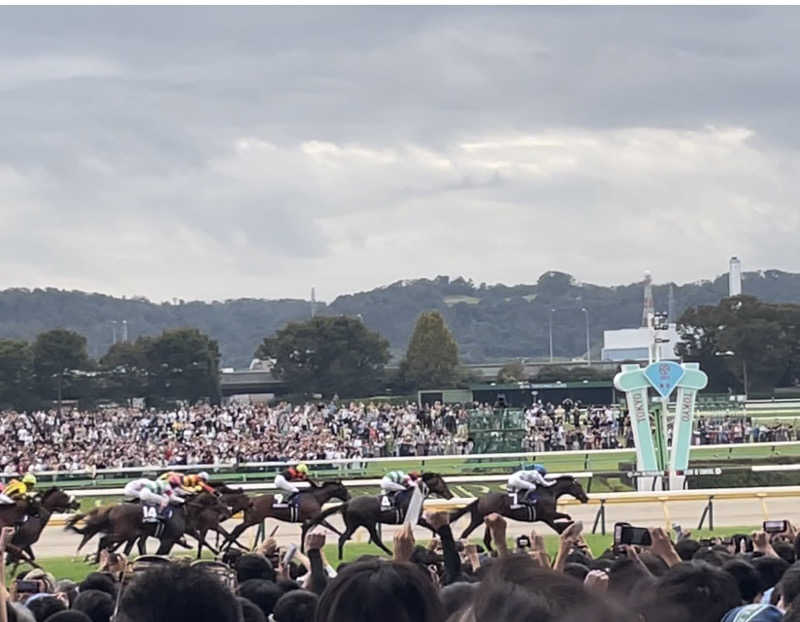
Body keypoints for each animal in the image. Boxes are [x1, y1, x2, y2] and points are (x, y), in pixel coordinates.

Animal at [306, 472, 454, 560]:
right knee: (365, 539)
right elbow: (430, 526)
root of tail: (347, 503)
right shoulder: (415, 519)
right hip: (365, 523)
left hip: (356, 524)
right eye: (442, 483)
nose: (451, 495)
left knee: (345, 538)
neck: (414, 495)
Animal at [450, 478, 588, 552]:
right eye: (579, 486)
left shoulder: (547, 518)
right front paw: (575, 539)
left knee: (479, 537)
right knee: (471, 534)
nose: (586, 498)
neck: (549, 492)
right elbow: (565, 519)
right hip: (483, 518)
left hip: (482, 519)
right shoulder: (549, 515)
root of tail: (480, 499)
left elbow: (560, 526)